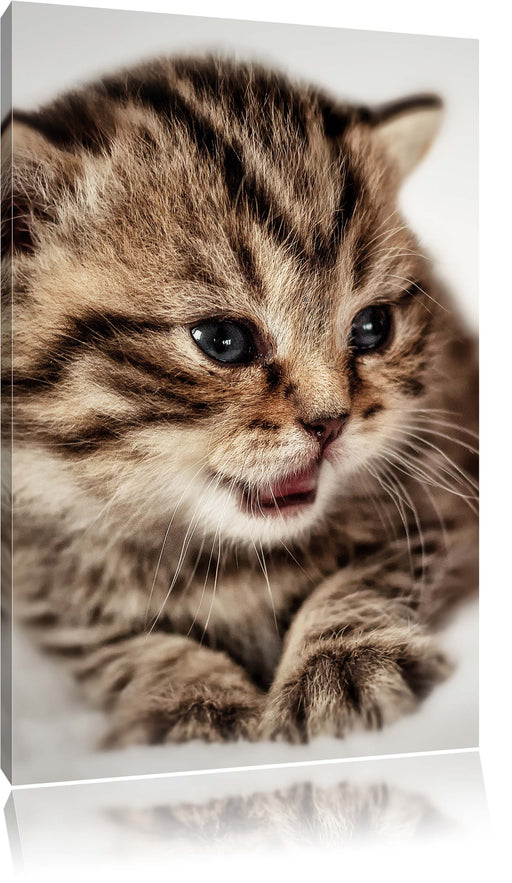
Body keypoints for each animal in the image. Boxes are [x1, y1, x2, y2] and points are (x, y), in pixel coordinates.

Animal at [2, 55, 478, 744]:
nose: (331, 422)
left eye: (372, 328)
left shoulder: (452, 499)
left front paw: (343, 659)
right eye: (223, 341)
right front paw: (190, 699)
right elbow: (110, 640)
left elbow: (376, 570)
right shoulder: (35, 584)